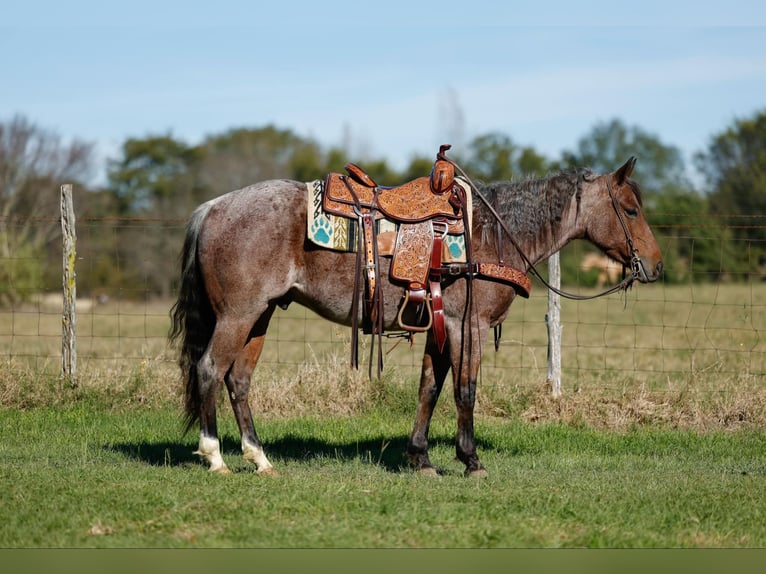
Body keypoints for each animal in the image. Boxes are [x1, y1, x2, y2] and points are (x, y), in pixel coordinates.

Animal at [169, 156, 663, 477]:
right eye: (631, 209)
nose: (656, 267)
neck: (492, 235)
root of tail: (212, 208)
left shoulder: (438, 325)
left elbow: (430, 387)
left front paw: (421, 458)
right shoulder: (468, 327)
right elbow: (465, 391)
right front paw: (471, 461)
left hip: (261, 316)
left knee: (238, 381)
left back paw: (260, 459)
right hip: (239, 315)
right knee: (210, 370)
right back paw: (215, 458)